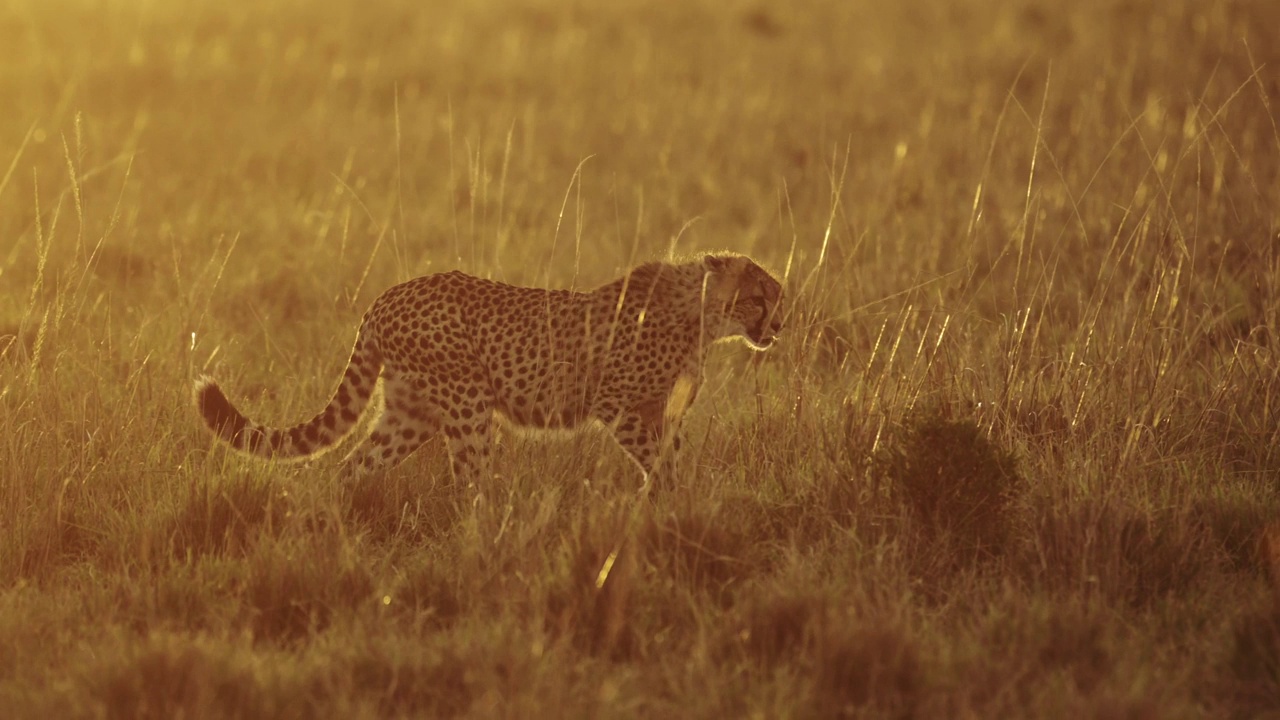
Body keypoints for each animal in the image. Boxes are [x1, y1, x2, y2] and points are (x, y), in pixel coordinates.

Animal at [194, 251, 783, 481]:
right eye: (758, 298)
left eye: (778, 299)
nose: (777, 327)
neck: (702, 314)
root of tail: (386, 295)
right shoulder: (618, 404)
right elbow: (660, 460)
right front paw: (665, 501)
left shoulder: (661, 410)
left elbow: (674, 457)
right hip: (468, 405)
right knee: (468, 484)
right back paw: (484, 538)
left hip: (409, 413)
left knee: (353, 466)